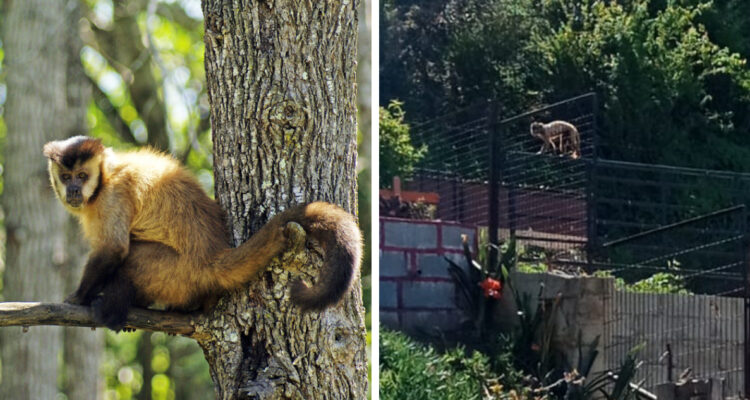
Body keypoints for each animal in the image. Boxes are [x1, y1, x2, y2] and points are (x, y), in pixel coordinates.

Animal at [42, 136, 361, 331]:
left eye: (82, 176)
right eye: (66, 177)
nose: (74, 190)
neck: (104, 180)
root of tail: (212, 256)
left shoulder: (112, 196)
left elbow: (114, 250)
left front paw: (78, 298)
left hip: (178, 273)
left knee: (132, 258)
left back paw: (113, 310)